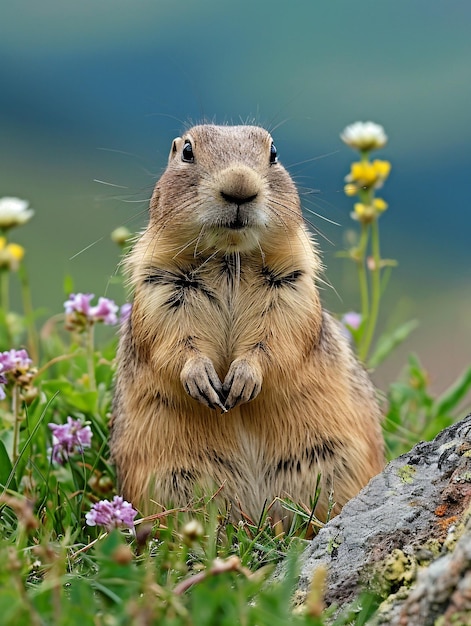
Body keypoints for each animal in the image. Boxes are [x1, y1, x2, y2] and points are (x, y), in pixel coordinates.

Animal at [112, 123, 386, 520]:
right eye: (187, 151)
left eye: (274, 153)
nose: (240, 186)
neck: (231, 257)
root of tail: (258, 514)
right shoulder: (160, 287)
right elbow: (174, 339)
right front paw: (203, 380)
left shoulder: (291, 286)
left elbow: (277, 336)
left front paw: (243, 380)